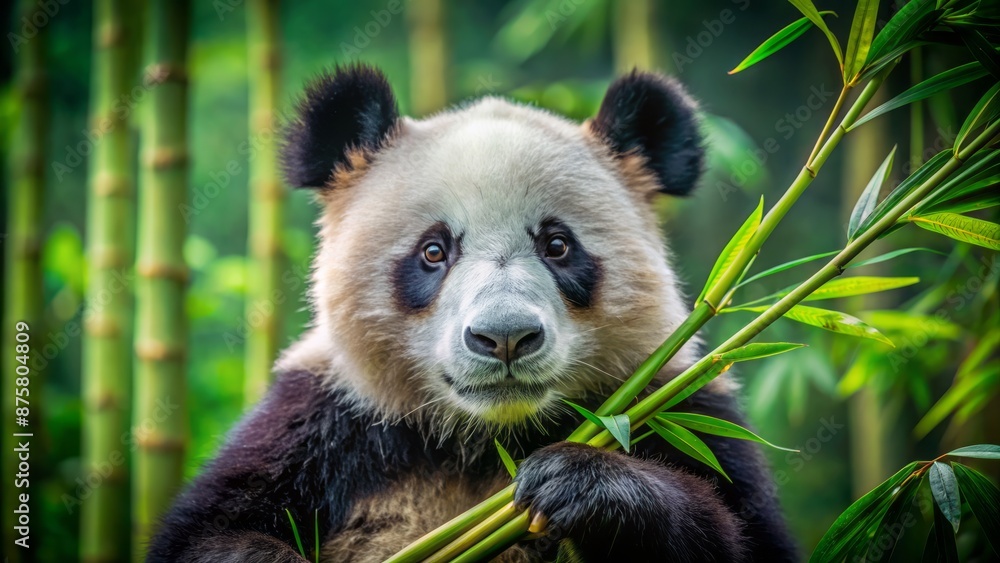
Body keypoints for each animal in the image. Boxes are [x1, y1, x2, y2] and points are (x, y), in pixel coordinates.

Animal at [148, 64, 798, 562]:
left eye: (557, 245)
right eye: (434, 251)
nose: (505, 338)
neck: (483, 440)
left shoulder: (683, 411)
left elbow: (744, 536)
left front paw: (577, 484)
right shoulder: (319, 423)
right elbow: (214, 532)